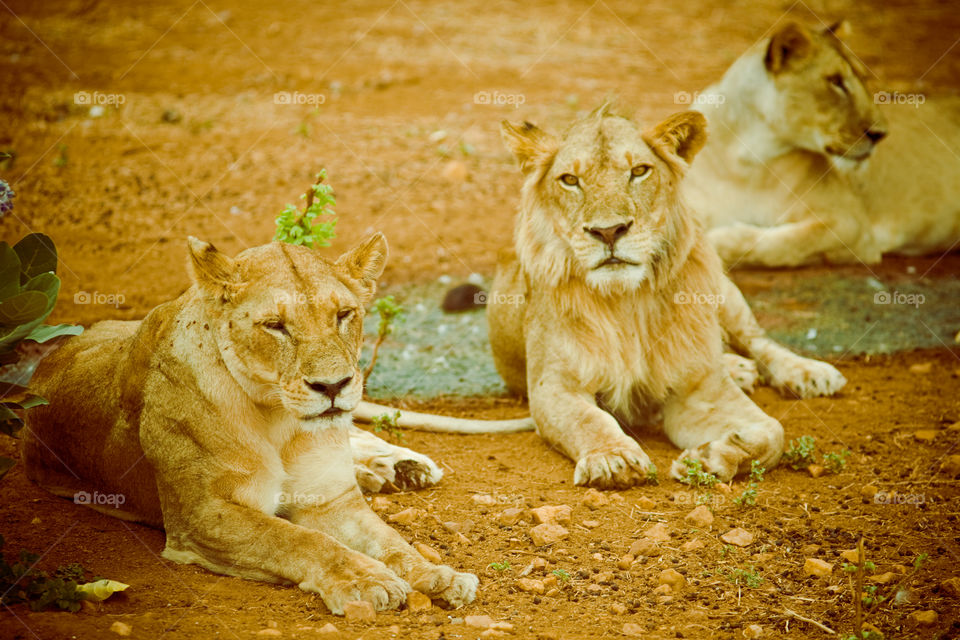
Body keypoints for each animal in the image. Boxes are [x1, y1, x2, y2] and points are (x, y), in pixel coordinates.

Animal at [21, 234, 478, 614]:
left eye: (344, 315)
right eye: (275, 326)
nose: (332, 386)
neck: (278, 417)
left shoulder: (331, 500)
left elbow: (393, 542)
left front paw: (439, 576)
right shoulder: (203, 515)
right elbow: (299, 540)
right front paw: (366, 580)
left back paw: (403, 467)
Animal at [480, 106, 846, 488]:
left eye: (639, 171)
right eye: (569, 180)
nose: (608, 232)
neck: (626, 299)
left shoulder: (699, 390)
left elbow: (773, 433)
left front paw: (712, 456)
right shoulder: (553, 386)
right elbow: (589, 421)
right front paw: (613, 459)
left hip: (720, 286)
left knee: (756, 340)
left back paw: (808, 372)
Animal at [683, 20, 960, 267]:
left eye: (863, 80)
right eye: (836, 81)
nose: (881, 133)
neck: (745, 161)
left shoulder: (852, 225)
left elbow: (786, 244)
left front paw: (722, 242)